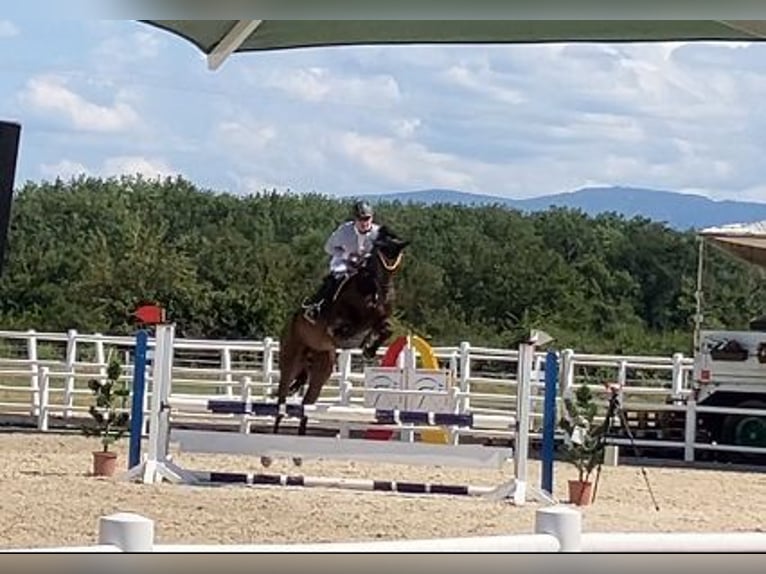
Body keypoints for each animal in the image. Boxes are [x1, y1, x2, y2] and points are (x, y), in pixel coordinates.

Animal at [260, 226, 412, 468]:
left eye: (396, 261)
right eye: (380, 259)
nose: (386, 293)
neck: (370, 289)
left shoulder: (380, 319)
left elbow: (385, 328)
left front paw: (369, 348)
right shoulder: (339, 320)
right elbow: (346, 329)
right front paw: (362, 342)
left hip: (321, 371)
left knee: (306, 404)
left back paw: (297, 455)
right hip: (291, 360)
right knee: (282, 399)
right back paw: (268, 453)